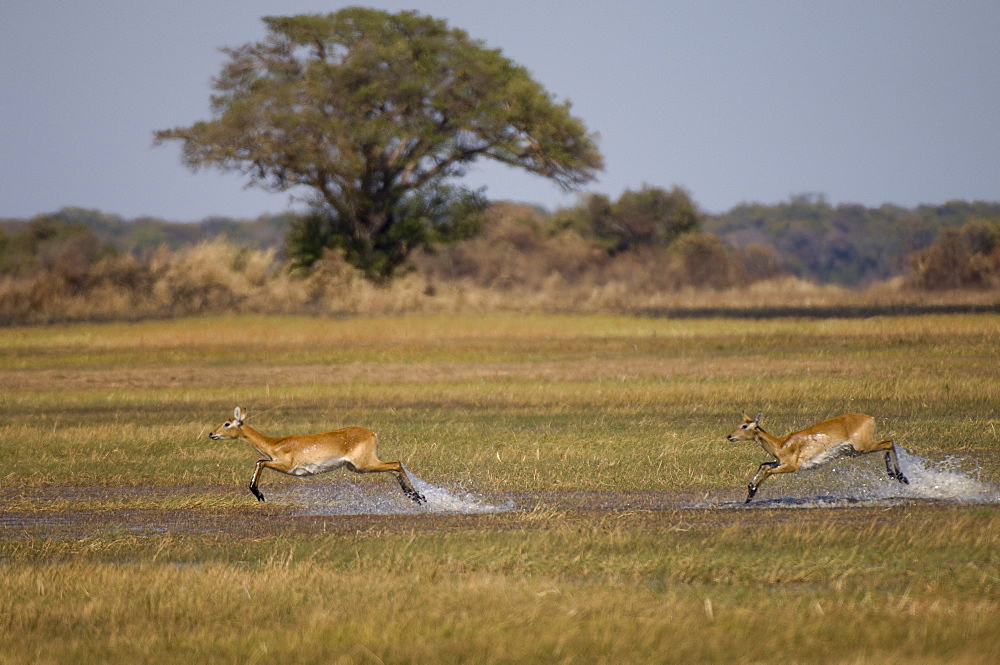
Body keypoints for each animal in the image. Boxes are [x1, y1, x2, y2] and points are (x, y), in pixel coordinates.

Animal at [209, 404, 428, 504]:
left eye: (227, 423)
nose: (212, 434)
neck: (275, 444)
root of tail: (371, 433)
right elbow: (259, 461)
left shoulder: (286, 466)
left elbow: (260, 461)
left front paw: (260, 494)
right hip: (360, 467)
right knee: (394, 468)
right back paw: (416, 497)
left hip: (364, 465)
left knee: (397, 463)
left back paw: (418, 497)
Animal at [724, 410, 912, 504]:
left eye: (744, 426)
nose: (729, 436)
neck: (781, 444)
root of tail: (870, 418)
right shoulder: (778, 462)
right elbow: (763, 465)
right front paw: (749, 493)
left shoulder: (792, 467)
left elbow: (768, 472)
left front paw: (751, 494)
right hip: (860, 450)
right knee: (886, 446)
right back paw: (894, 475)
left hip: (863, 446)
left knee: (889, 443)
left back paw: (902, 477)